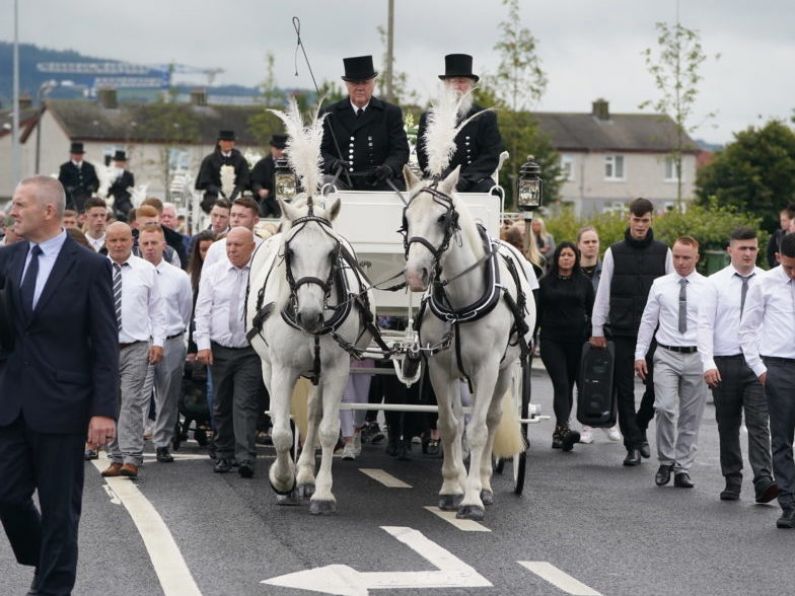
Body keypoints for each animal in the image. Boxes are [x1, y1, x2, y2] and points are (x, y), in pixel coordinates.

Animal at [402, 165, 536, 520]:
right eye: (407, 217)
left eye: (443, 218)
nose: (415, 275)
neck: (460, 302)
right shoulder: (439, 367)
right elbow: (449, 425)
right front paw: (452, 488)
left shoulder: (487, 368)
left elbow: (477, 430)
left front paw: (473, 498)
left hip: (506, 370)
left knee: (492, 419)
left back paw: (485, 484)